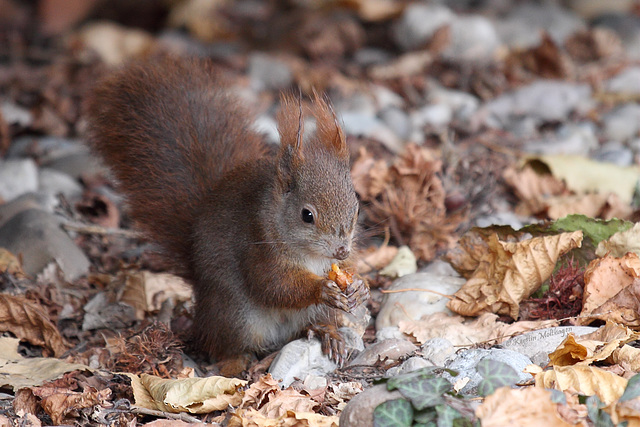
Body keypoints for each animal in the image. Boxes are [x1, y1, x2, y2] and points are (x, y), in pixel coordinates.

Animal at [86, 57, 370, 368]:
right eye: (307, 215)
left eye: (356, 208)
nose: (341, 250)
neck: (311, 256)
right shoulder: (257, 247)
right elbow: (273, 284)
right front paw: (322, 289)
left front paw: (360, 286)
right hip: (236, 315)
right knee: (223, 346)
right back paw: (236, 361)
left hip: (308, 312)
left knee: (313, 321)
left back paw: (328, 332)